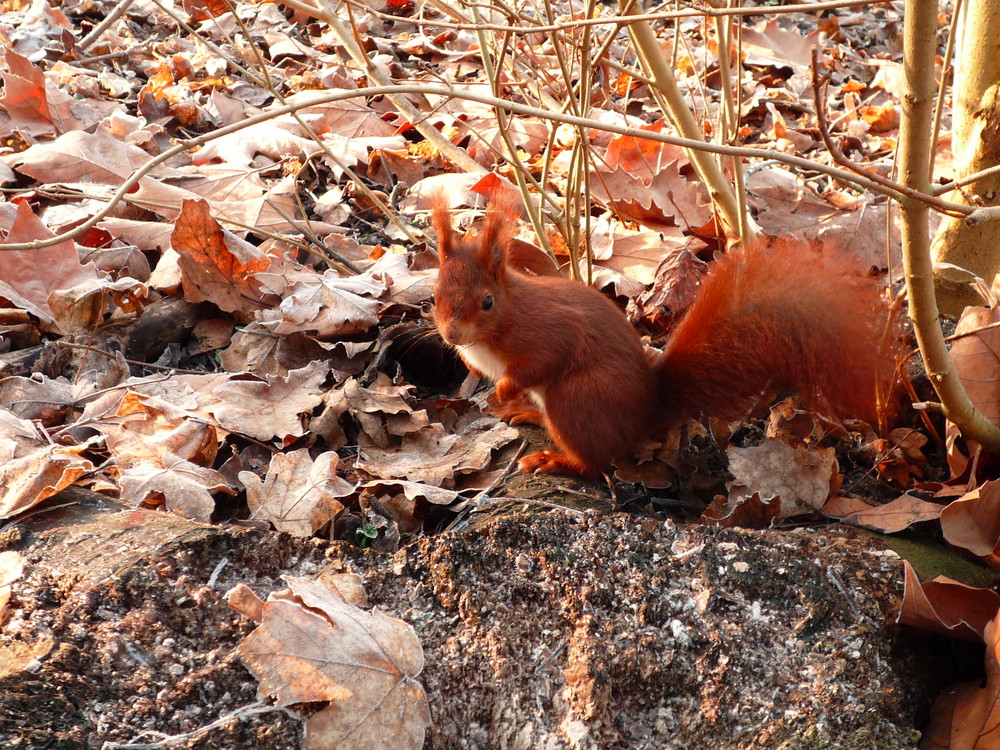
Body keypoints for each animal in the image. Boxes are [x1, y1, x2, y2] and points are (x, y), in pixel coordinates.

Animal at [430, 197, 900, 478]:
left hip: (577, 398)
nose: (452, 333)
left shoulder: (547, 331)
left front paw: (503, 388)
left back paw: (554, 458)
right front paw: (481, 376)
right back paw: (528, 413)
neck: (503, 322)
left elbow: (544, 359)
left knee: (594, 461)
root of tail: (642, 416)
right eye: (435, 294)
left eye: (487, 302)